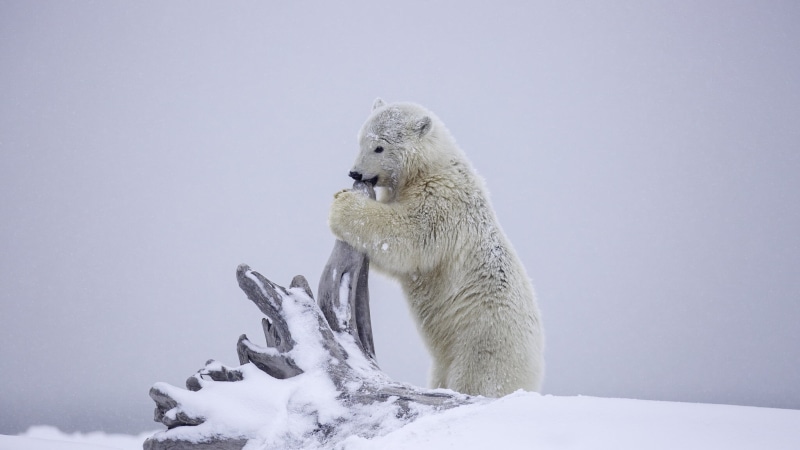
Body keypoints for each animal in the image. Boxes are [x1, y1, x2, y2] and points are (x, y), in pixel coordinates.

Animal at [329, 99, 544, 397]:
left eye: (379, 147)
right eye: (360, 140)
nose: (355, 173)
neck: (430, 167)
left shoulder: (442, 201)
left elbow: (408, 237)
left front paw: (343, 204)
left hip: (483, 341)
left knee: (476, 379)